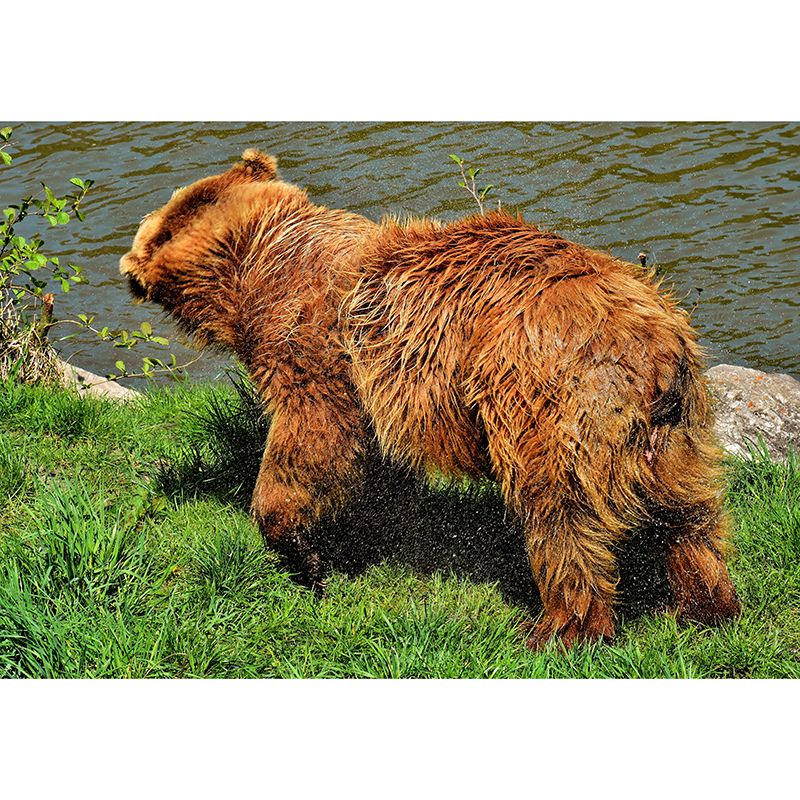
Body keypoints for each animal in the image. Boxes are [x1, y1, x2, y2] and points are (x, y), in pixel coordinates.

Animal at [120, 149, 741, 649]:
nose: (127, 270)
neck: (254, 259)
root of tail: (656, 347)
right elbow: (373, 467)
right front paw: (359, 539)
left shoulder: (315, 347)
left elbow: (310, 439)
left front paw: (298, 549)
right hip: (674, 432)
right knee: (690, 516)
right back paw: (707, 605)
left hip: (546, 397)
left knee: (559, 514)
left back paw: (559, 628)